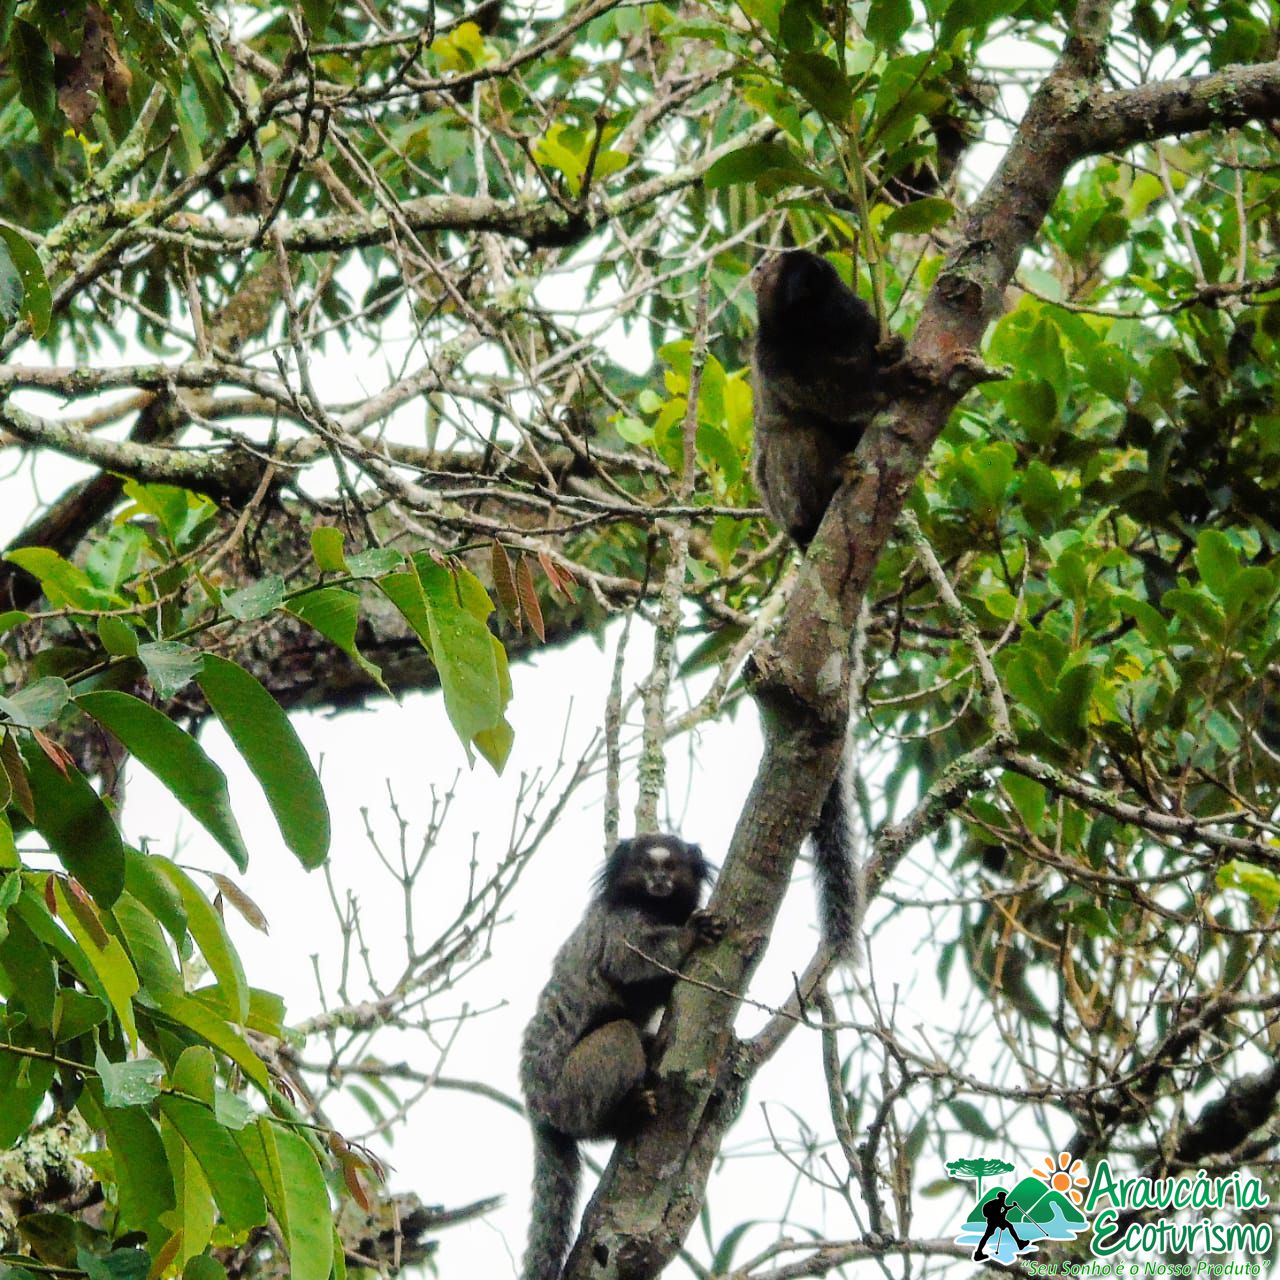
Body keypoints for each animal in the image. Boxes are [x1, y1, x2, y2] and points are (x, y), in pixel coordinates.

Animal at [519, 834, 724, 1280]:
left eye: (671, 867)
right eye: (647, 867)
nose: (659, 881)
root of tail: (535, 1104)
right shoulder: (620, 922)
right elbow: (625, 959)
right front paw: (690, 934)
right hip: (568, 1091)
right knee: (619, 1034)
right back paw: (624, 1114)